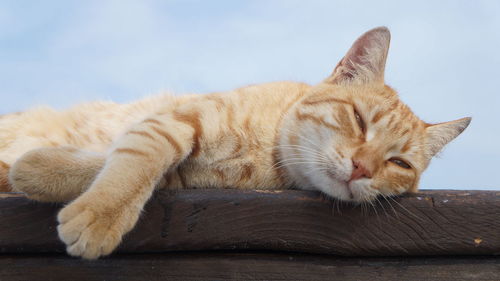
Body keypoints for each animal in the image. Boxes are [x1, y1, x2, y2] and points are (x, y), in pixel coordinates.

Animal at [0, 26, 468, 258]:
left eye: (399, 164)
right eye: (358, 119)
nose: (362, 168)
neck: (263, 155)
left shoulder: (186, 178)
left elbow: (118, 165)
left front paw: (38, 170)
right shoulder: (176, 120)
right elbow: (137, 158)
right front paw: (100, 213)